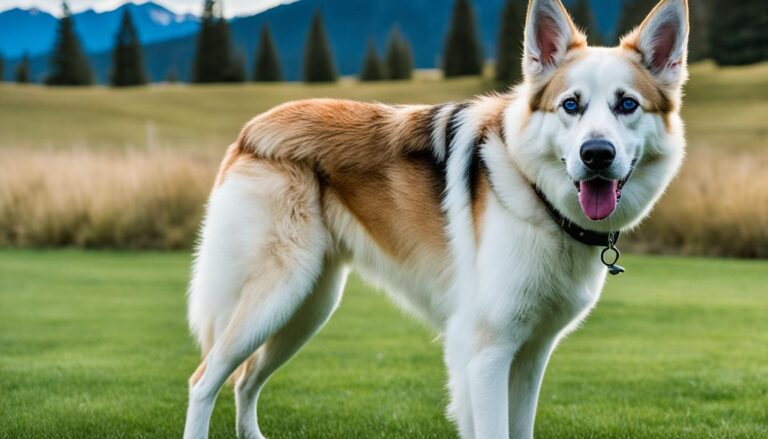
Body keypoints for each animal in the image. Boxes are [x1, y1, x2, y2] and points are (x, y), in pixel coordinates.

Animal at [184, 1, 688, 438]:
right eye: (570, 105)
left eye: (627, 105)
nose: (596, 154)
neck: (534, 194)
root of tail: (254, 130)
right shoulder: (487, 352)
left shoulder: (530, 356)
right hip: (276, 296)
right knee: (204, 381)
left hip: (308, 306)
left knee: (245, 380)